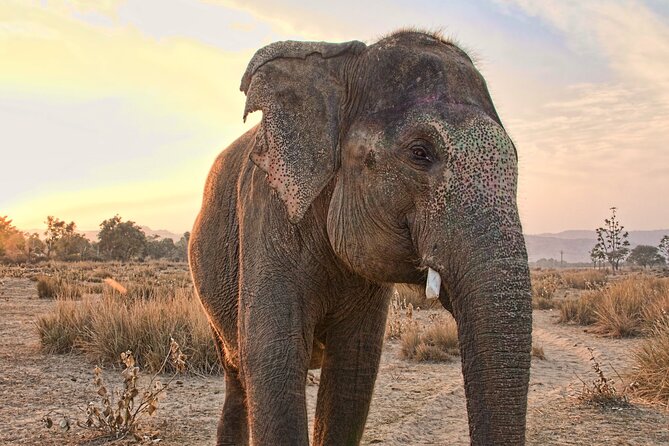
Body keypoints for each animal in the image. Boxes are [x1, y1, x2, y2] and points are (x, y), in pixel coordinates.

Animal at [189, 30, 532, 446]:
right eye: (420, 153)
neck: (342, 69)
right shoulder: (266, 210)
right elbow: (273, 361)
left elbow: (352, 373)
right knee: (237, 375)